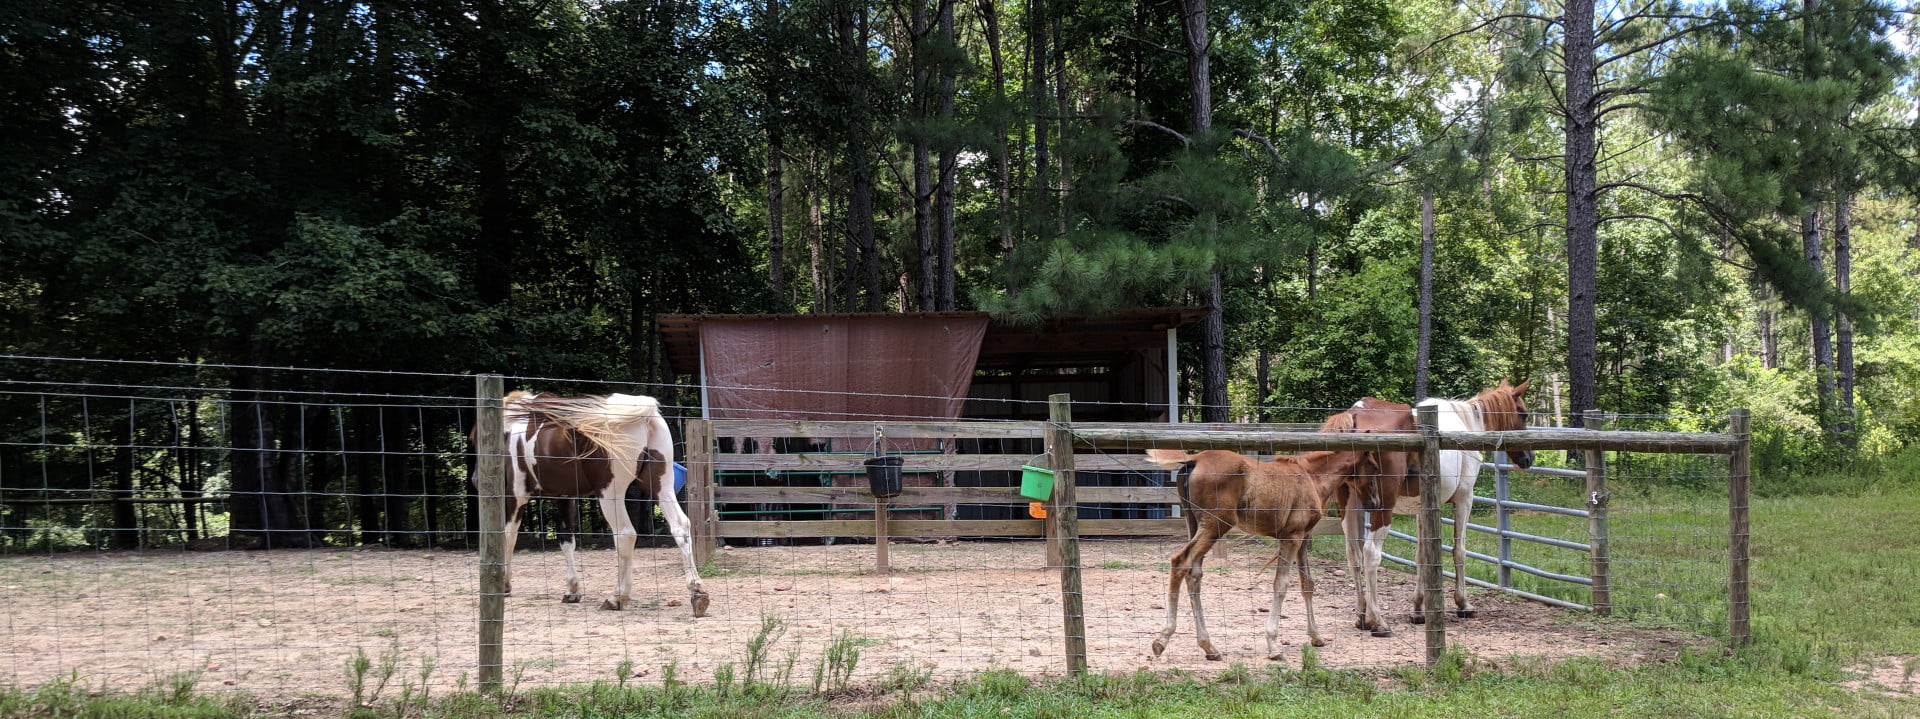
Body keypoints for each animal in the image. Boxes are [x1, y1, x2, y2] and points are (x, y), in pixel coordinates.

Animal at [474, 390, 714, 615]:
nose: (475, 480)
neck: (513, 430)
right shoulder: (564, 497)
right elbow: (566, 540)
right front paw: (572, 590)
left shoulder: (516, 496)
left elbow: (508, 536)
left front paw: (504, 584)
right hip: (660, 485)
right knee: (680, 527)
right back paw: (697, 592)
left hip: (610, 494)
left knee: (625, 534)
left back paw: (618, 597)